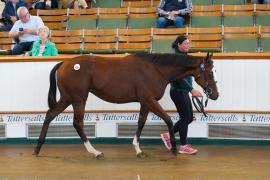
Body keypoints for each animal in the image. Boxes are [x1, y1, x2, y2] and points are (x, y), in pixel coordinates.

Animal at [34, 52, 219, 159]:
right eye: (210, 72)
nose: (215, 94)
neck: (156, 69)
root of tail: (65, 63)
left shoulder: (145, 102)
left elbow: (141, 123)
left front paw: (138, 150)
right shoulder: (150, 100)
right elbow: (168, 119)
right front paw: (173, 147)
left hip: (67, 98)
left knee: (49, 115)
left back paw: (37, 148)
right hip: (78, 99)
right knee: (77, 123)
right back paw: (95, 152)